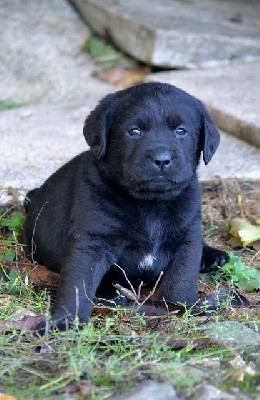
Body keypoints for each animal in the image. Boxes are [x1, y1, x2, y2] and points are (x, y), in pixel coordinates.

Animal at [24, 83, 228, 330]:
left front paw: (178, 307)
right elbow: (78, 283)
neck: (150, 204)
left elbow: (182, 278)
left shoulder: (187, 238)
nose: (162, 159)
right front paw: (65, 321)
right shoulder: (91, 241)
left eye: (181, 131)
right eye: (134, 131)